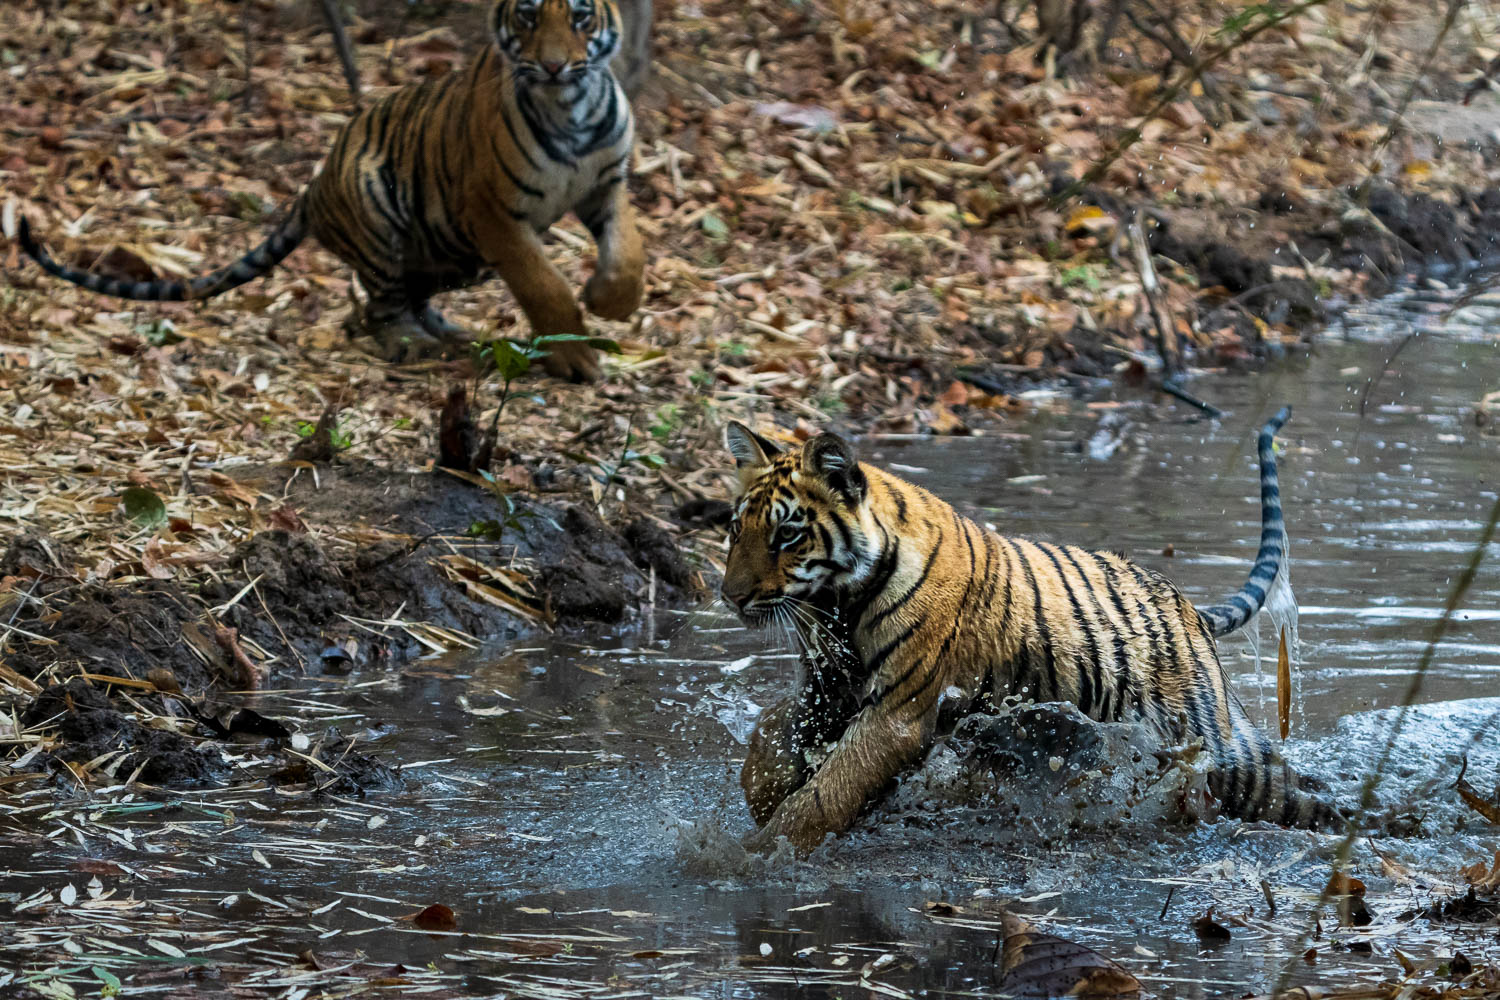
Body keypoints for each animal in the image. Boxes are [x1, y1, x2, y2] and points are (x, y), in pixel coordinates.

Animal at [17, 0, 641, 381]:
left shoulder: (607, 182)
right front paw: (576, 355)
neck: (570, 104)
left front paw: (606, 300)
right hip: (384, 209)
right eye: (529, 15)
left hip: (455, 254)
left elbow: (628, 254)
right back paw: (419, 345)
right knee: (378, 309)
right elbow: (542, 284)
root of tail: (312, 189)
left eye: (581, 17)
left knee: (403, 299)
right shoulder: (492, 210)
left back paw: (455, 333)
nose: (555, 66)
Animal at [720, 407, 1344, 854]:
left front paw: (757, 850)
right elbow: (770, 734)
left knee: (1295, 793)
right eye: (734, 529)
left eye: (787, 535)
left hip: (1225, 749)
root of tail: (1187, 606)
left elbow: (827, 792)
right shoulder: (826, 687)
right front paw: (761, 795)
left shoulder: (895, 713)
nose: (731, 596)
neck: (837, 606)